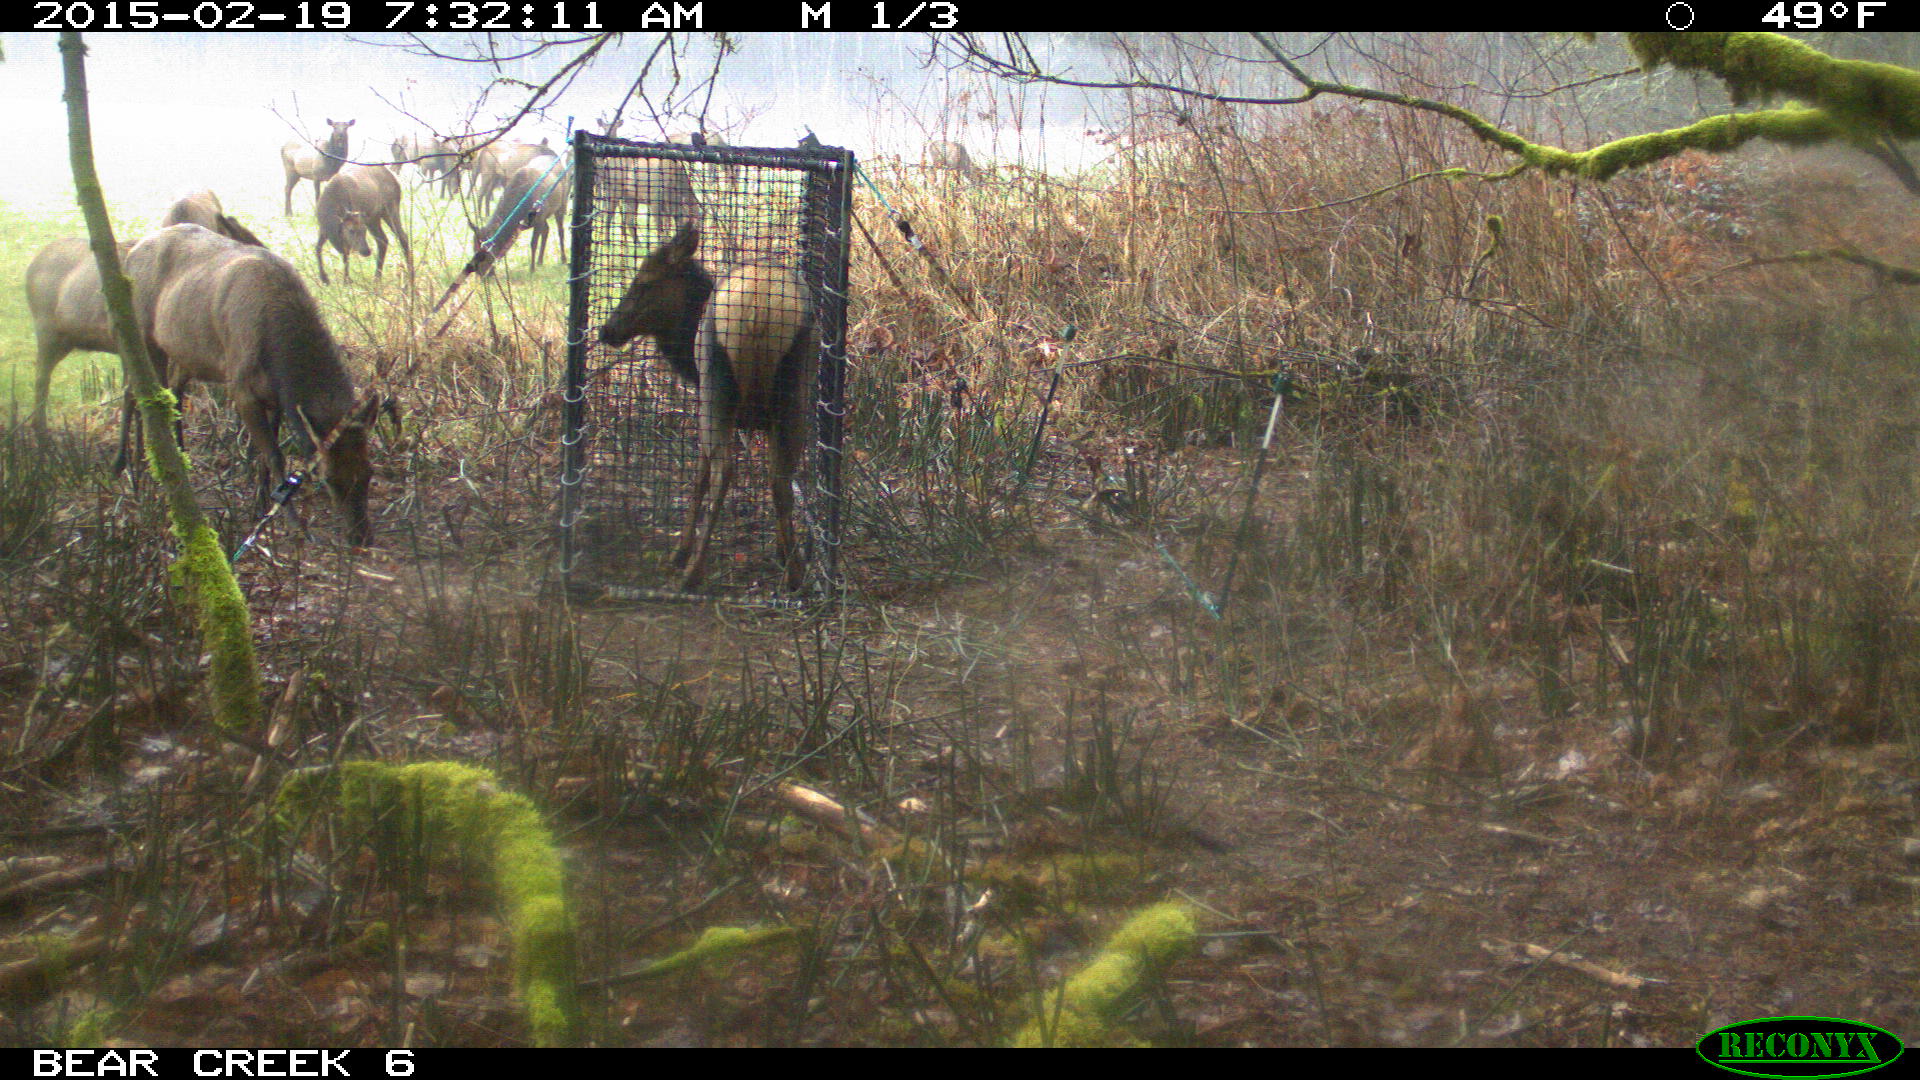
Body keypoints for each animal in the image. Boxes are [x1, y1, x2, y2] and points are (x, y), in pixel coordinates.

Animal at [127, 227, 382, 545]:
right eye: (328, 479)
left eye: (369, 472)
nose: (362, 537)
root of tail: (131, 253)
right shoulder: (241, 388)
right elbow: (274, 455)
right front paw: (292, 522)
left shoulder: (274, 396)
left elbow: (263, 454)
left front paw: (262, 503)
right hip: (144, 335)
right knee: (143, 396)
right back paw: (137, 471)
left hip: (186, 352)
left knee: (171, 394)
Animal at [595, 220, 814, 588]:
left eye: (643, 281)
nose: (607, 330)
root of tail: (759, 306)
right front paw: (784, 552)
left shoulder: (704, 400)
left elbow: (699, 476)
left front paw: (680, 551)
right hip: (793, 388)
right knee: (781, 479)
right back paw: (795, 576)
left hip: (716, 386)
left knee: (723, 471)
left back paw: (692, 571)